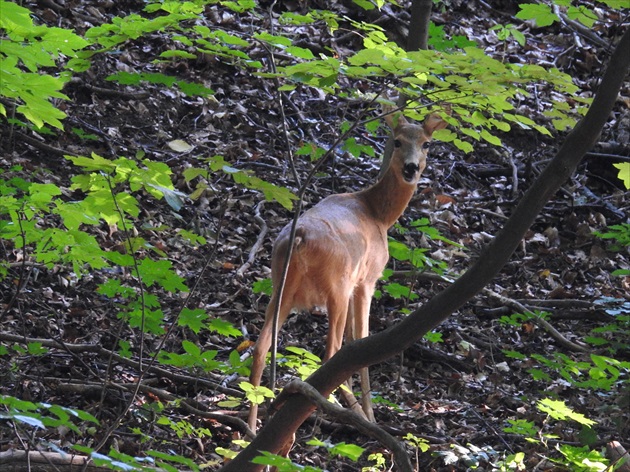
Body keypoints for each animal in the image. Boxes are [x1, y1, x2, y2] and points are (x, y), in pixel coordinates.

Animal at [248, 108, 450, 432]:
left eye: (427, 143)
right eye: (396, 141)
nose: (411, 168)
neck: (379, 214)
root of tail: (300, 237)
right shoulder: (367, 279)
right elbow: (360, 340)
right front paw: (371, 413)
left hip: (280, 287)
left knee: (261, 346)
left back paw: (252, 427)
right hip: (337, 287)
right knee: (331, 352)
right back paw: (352, 416)